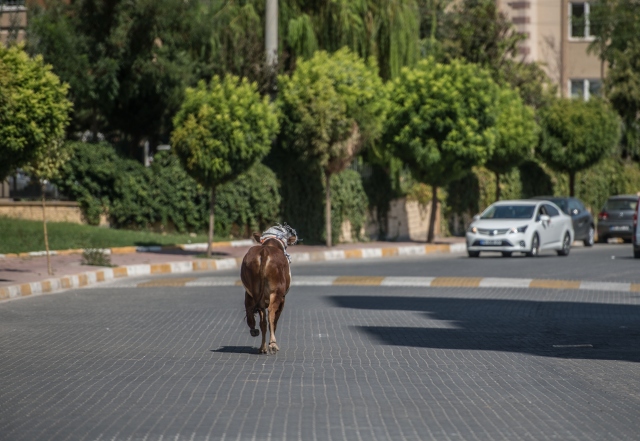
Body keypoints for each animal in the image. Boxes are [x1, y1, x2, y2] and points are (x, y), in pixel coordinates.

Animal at [240, 224, 298, 354]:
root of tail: (264, 252)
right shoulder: (282, 299)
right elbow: (274, 321)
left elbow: (263, 322)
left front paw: (263, 347)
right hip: (276, 293)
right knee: (271, 314)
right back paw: (273, 344)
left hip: (253, 292)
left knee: (256, 316)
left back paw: (259, 339)